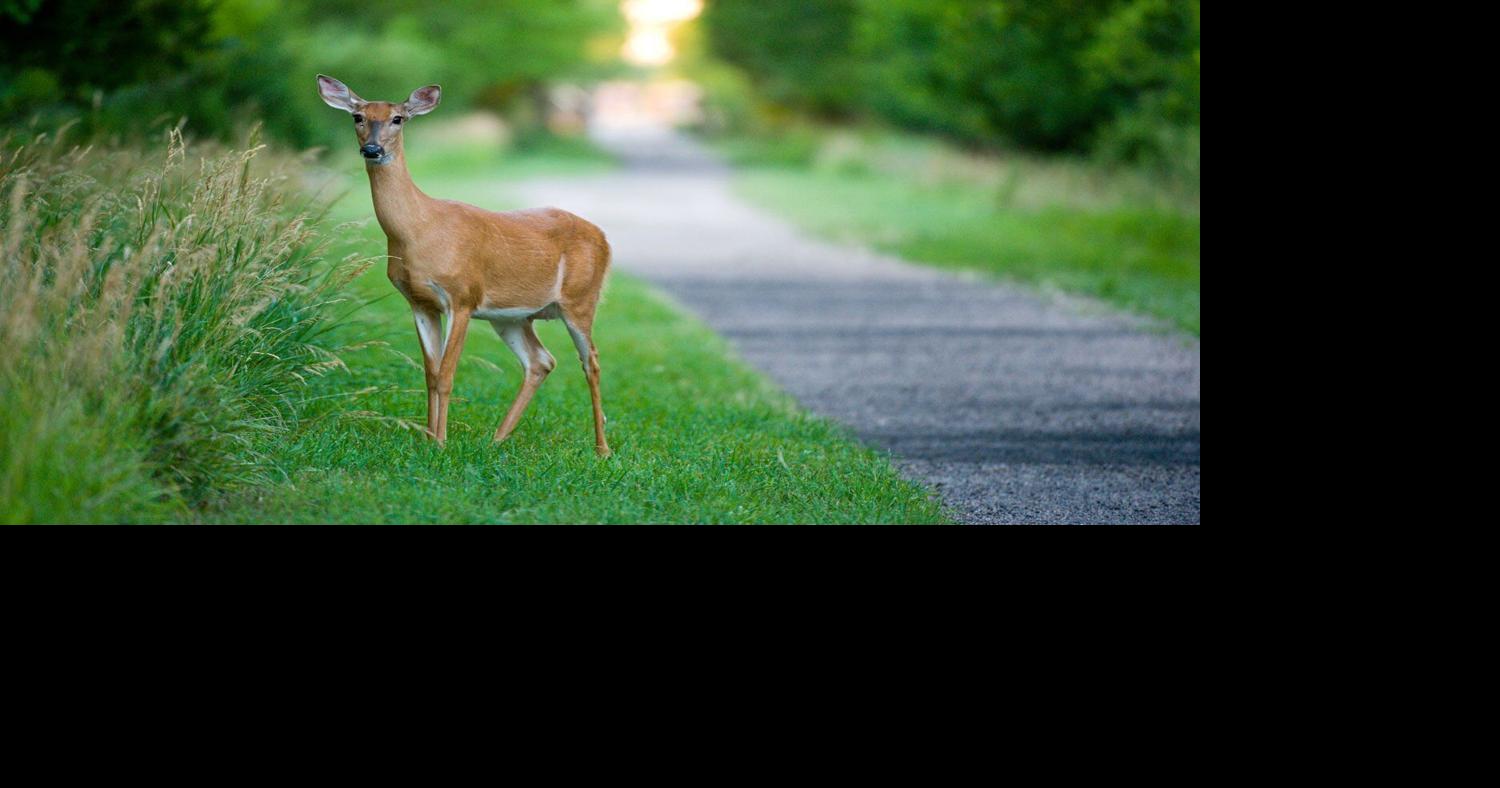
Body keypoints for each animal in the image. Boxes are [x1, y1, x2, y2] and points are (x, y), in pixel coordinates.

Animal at [319, 75, 612, 453]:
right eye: (358, 116)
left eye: (398, 118)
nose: (372, 149)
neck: (419, 229)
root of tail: (604, 238)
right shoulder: (419, 302)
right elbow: (430, 374)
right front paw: (428, 439)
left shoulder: (461, 297)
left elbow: (446, 375)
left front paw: (441, 443)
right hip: (513, 316)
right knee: (541, 361)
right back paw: (497, 439)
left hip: (580, 300)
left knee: (591, 361)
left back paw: (602, 448)